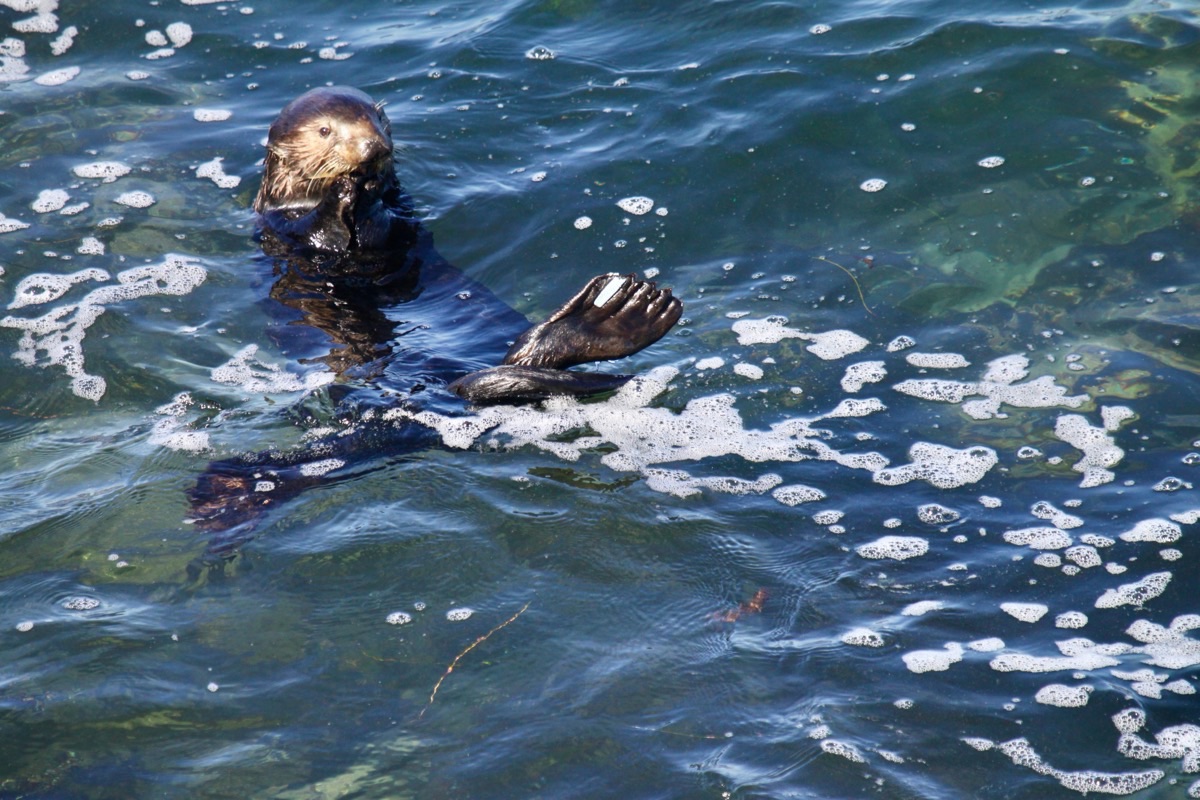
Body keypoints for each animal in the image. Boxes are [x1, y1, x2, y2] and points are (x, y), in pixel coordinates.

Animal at [187, 86, 682, 557]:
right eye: (326, 131)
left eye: (376, 120)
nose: (372, 148)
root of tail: (432, 405)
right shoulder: (287, 227)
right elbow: (323, 233)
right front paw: (346, 192)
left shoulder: (400, 213)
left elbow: (388, 226)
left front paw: (367, 192)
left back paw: (612, 320)